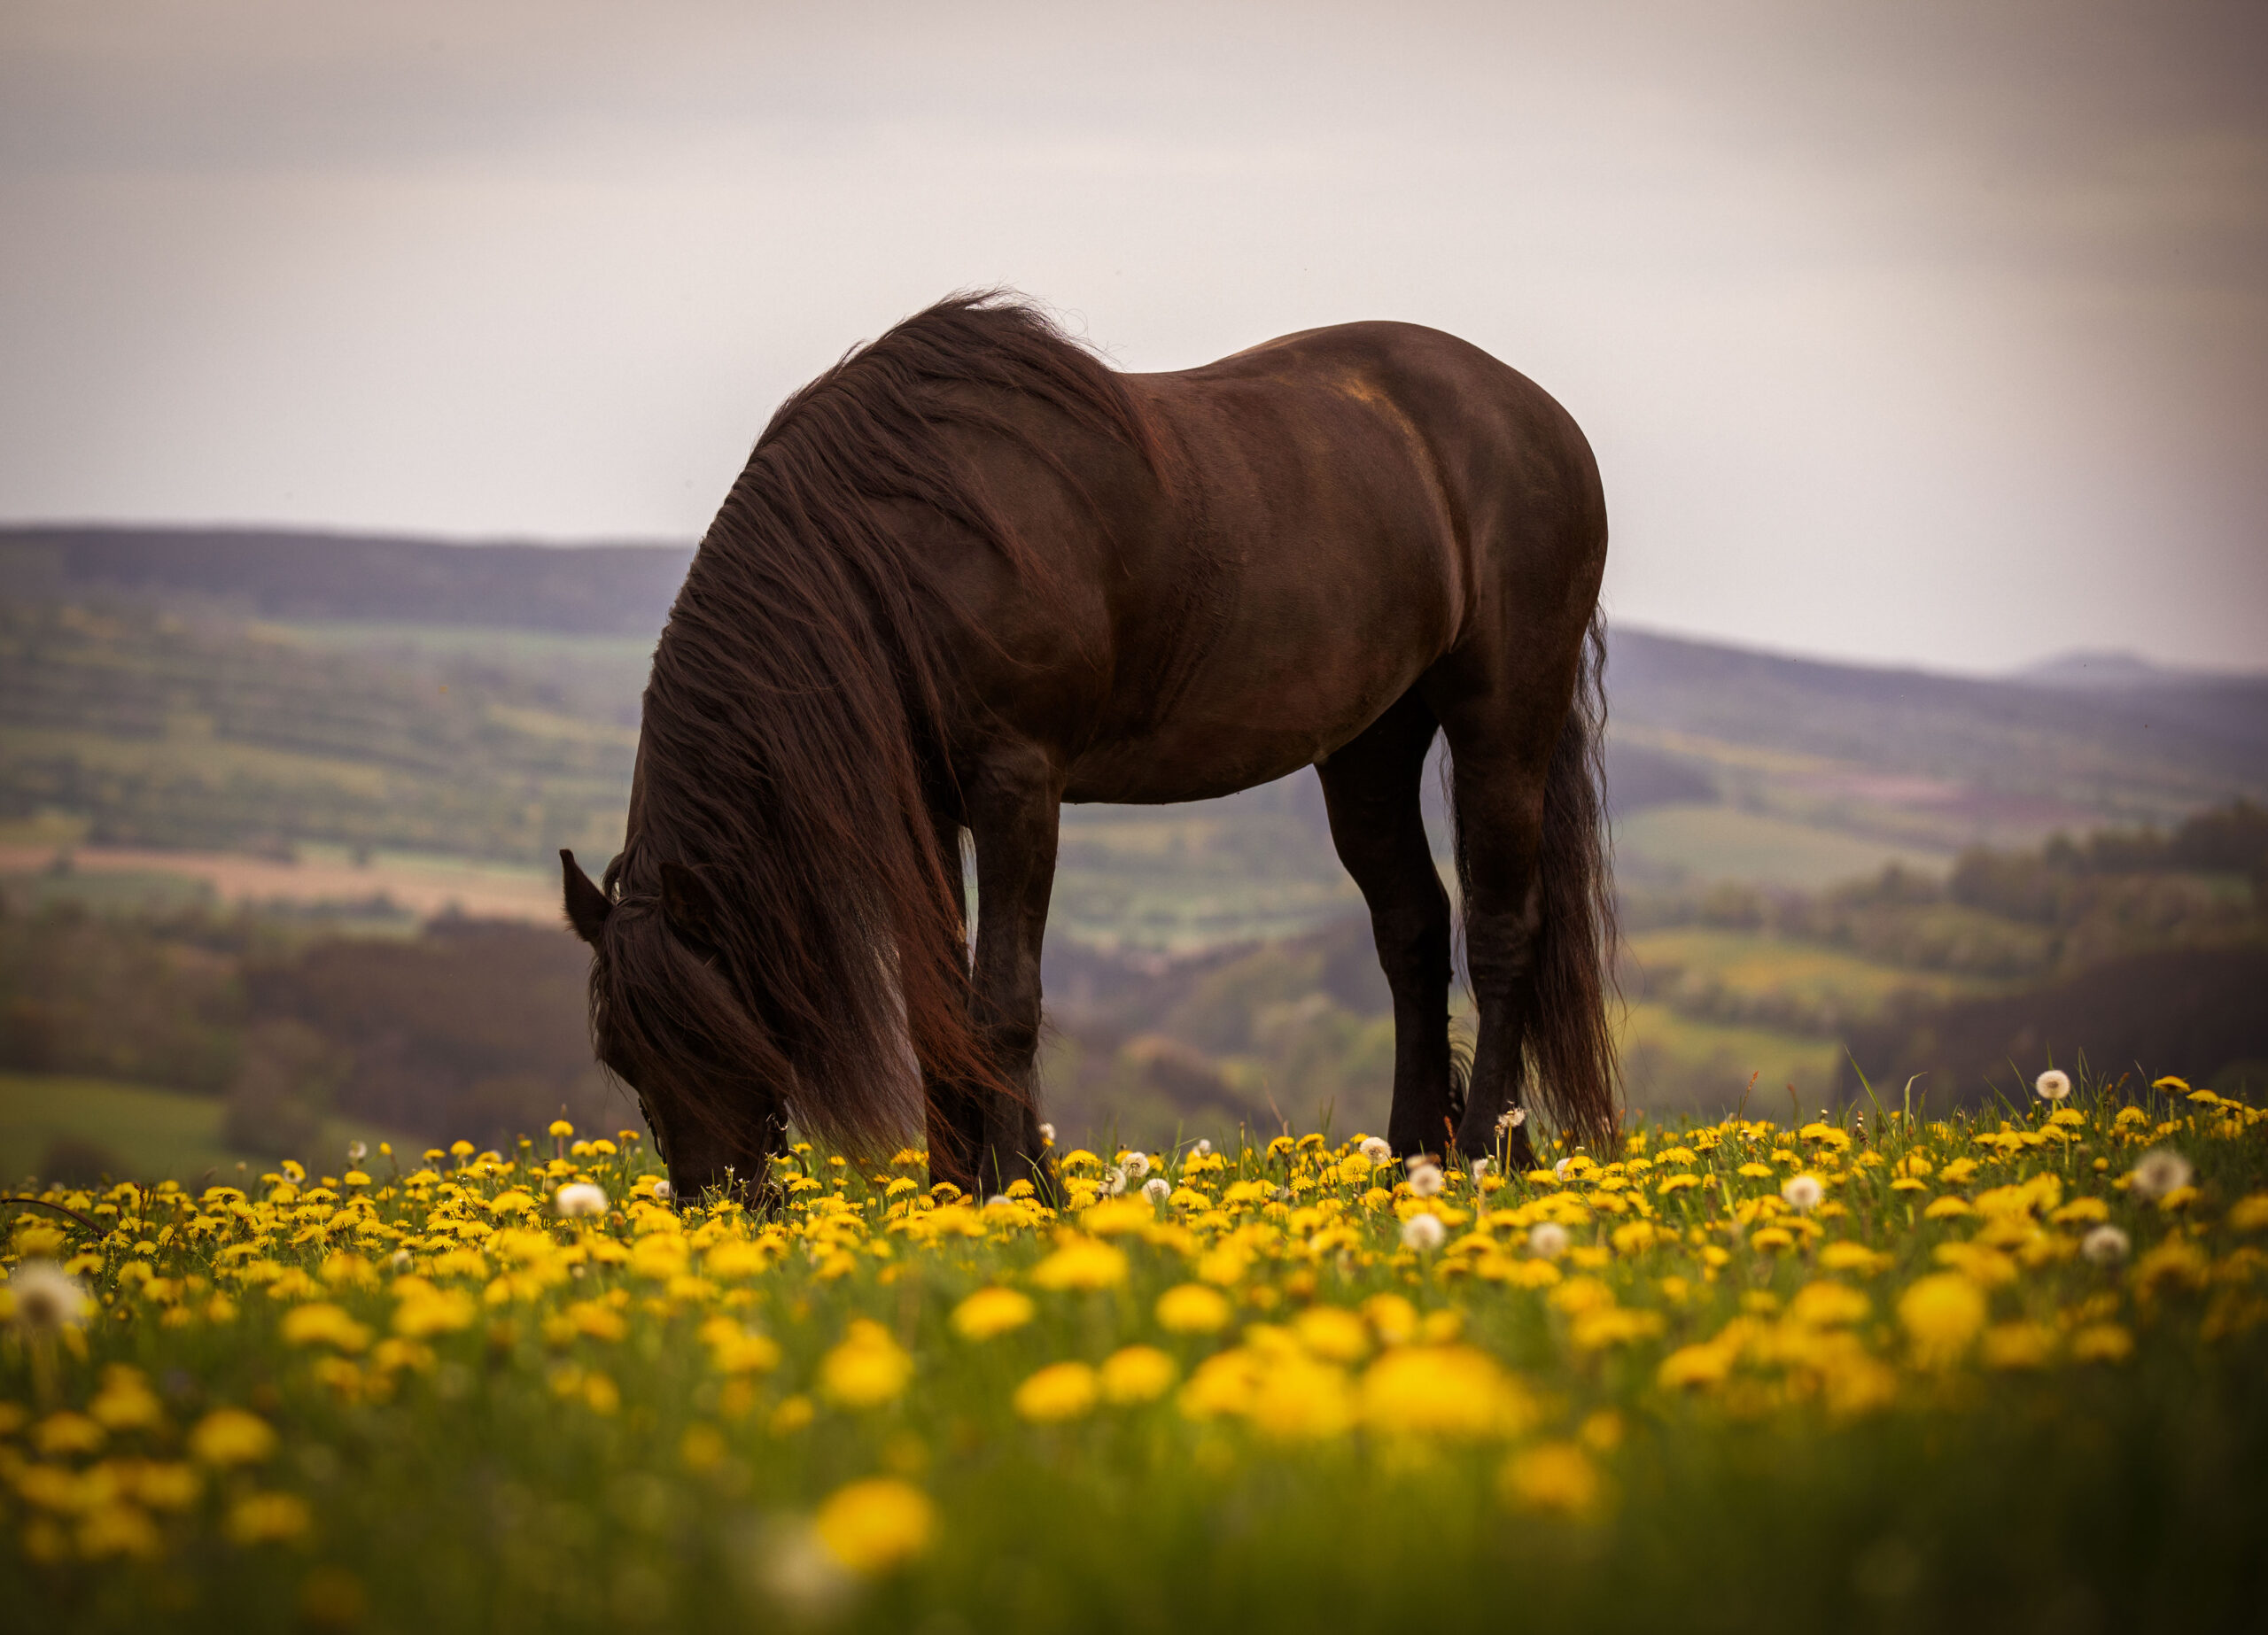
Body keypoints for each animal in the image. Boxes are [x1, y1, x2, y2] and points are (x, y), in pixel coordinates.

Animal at [562, 292, 1614, 1197]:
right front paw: (951, 1196)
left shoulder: (1019, 784)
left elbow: (1003, 1002)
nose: (719, 1205)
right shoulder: (930, 805)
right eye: (622, 1057)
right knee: (1412, 929)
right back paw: (1408, 1163)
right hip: (1369, 742)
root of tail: (1540, 416)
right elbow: (936, 1006)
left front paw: (1020, 1190)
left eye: (720, 1035)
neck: (899, 547)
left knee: (1503, 928)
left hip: (1503, 718)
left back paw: (1480, 1158)